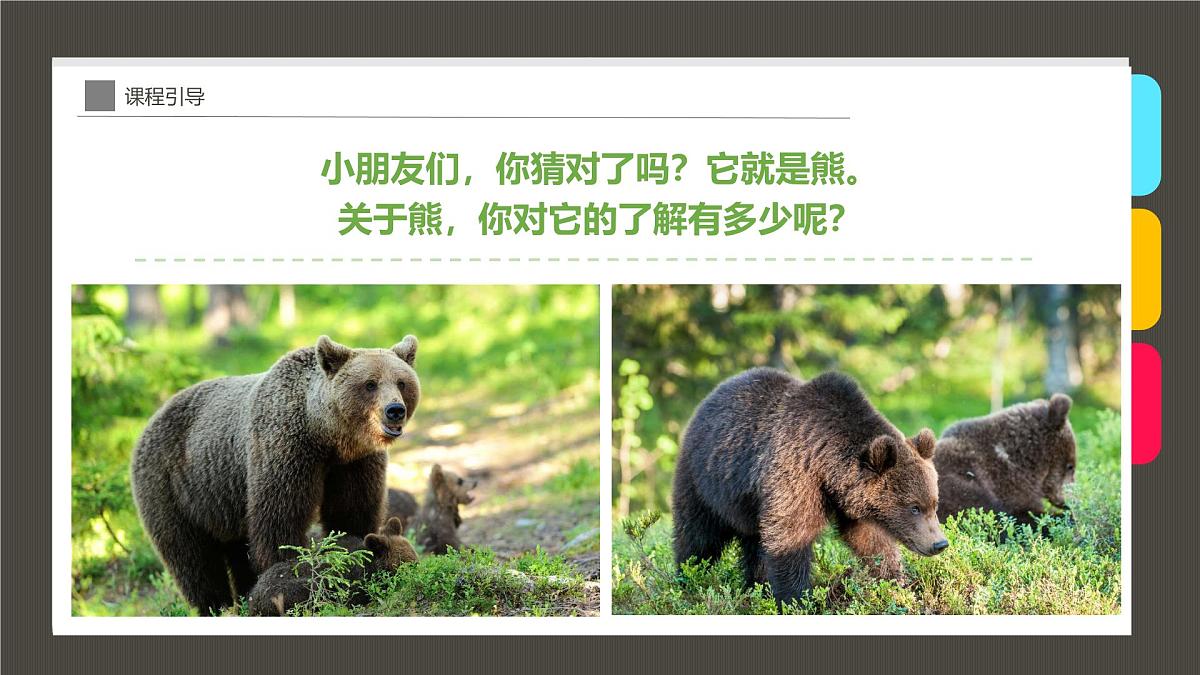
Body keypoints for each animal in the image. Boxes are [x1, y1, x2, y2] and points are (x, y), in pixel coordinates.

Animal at [672, 368, 948, 606]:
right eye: (914, 507)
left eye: (934, 504)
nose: (939, 543)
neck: (826, 465)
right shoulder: (795, 477)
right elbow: (790, 536)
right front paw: (797, 598)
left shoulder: (851, 502)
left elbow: (870, 540)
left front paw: (898, 581)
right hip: (703, 482)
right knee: (697, 536)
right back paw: (687, 578)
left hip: (747, 506)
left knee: (754, 546)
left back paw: (756, 586)